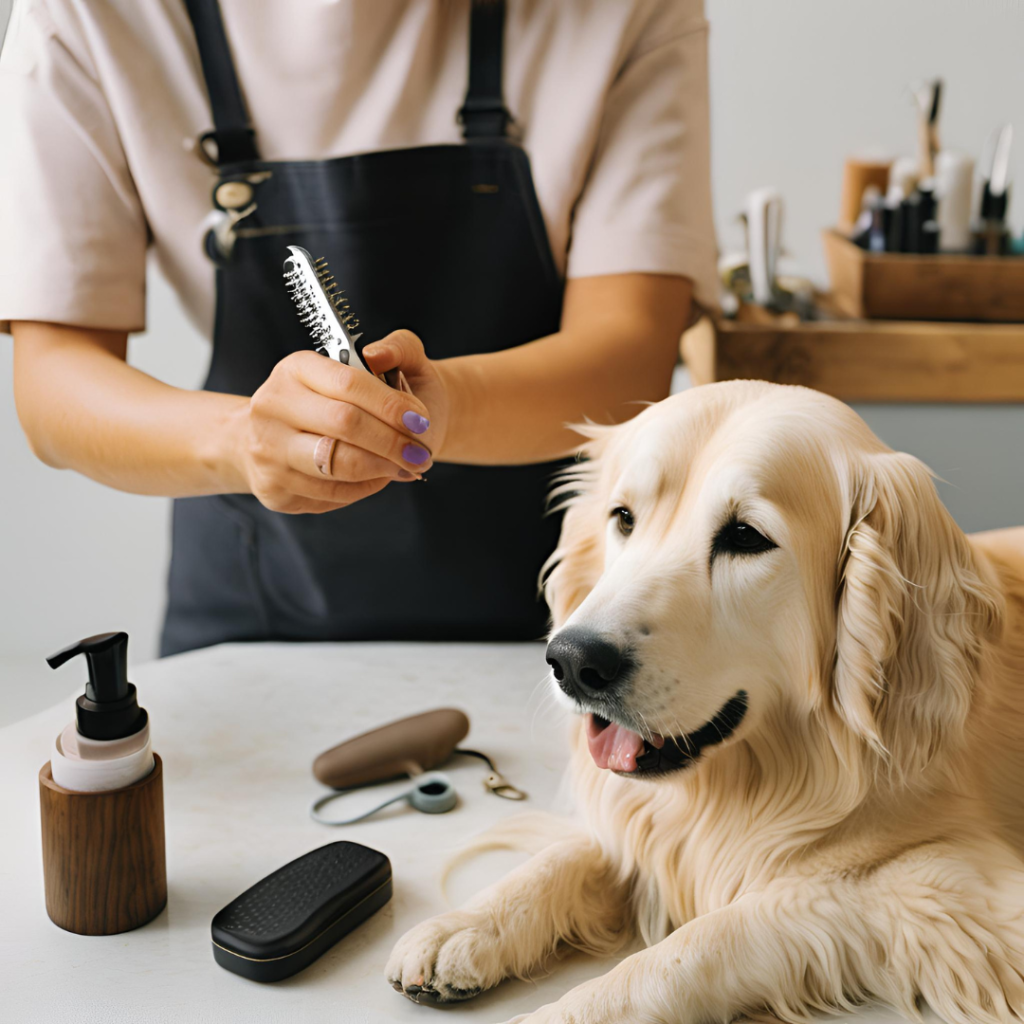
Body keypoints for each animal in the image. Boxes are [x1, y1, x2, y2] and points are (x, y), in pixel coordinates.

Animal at [385, 380, 1024, 1019]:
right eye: (623, 518)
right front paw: (467, 924)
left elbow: (701, 939)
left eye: (745, 536)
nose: (571, 660)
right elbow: (574, 853)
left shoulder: (943, 888)